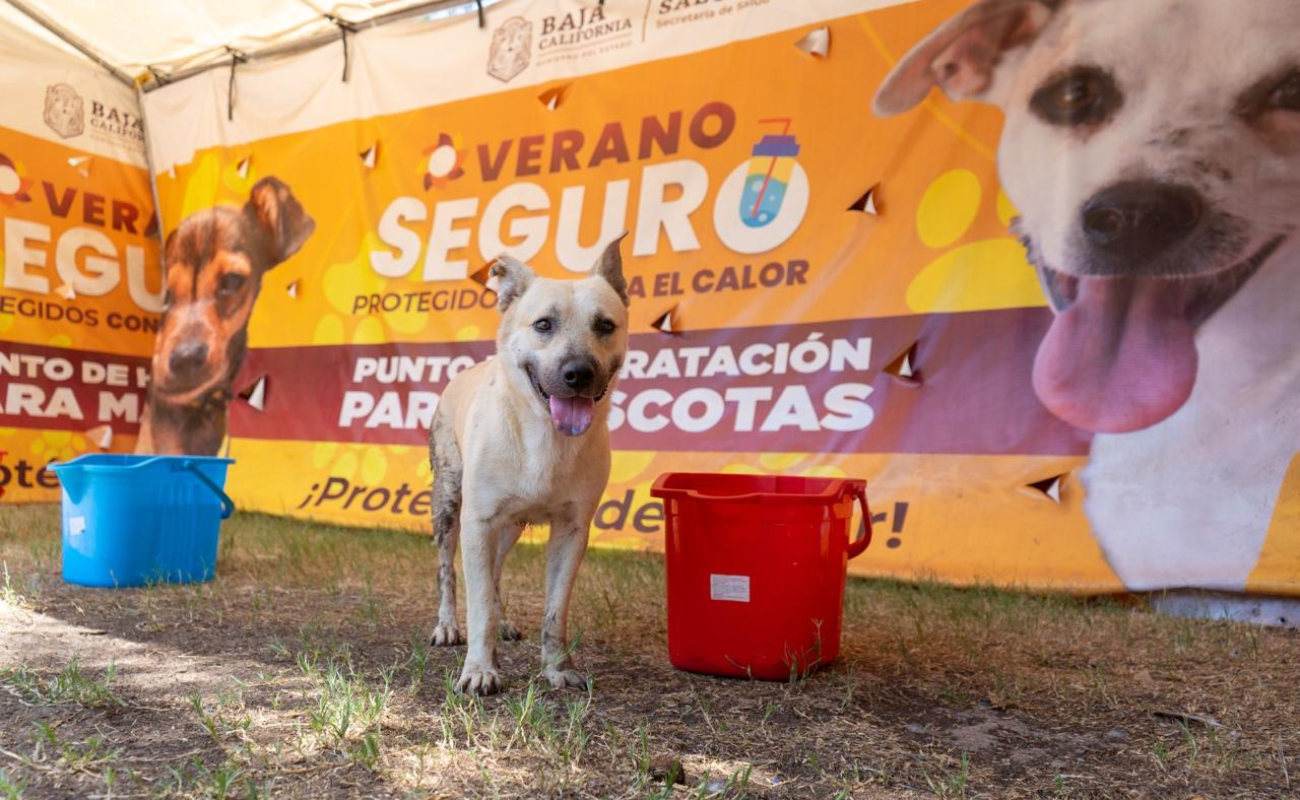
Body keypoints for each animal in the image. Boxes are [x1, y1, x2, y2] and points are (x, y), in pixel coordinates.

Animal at [426, 231, 629, 697]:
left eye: (605, 325)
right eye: (543, 325)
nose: (579, 373)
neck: (545, 439)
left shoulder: (572, 530)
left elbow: (555, 610)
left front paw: (556, 667)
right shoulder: (478, 523)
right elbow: (478, 602)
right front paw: (480, 670)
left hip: (510, 528)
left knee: (496, 572)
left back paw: (502, 624)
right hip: (449, 506)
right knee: (449, 571)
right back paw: (447, 626)